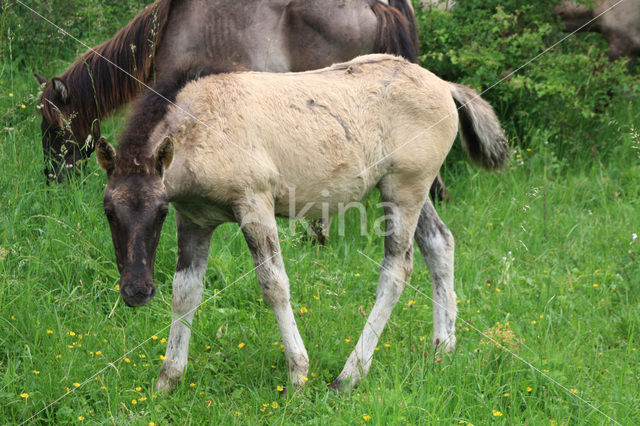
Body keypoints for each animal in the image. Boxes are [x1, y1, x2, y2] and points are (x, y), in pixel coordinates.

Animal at [96, 54, 504, 392]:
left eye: (160, 211)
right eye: (108, 211)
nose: (136, 290)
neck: (204, 125)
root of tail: (446, 86)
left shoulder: (254, 205)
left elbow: (274, 284)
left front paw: (298, 374)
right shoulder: (196, 220)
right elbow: (185, 291)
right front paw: (167, 380)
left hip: (405, 189)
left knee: (397, 269)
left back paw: (348, 376)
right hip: (409, 190)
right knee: (440, 243)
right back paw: (443, 347)